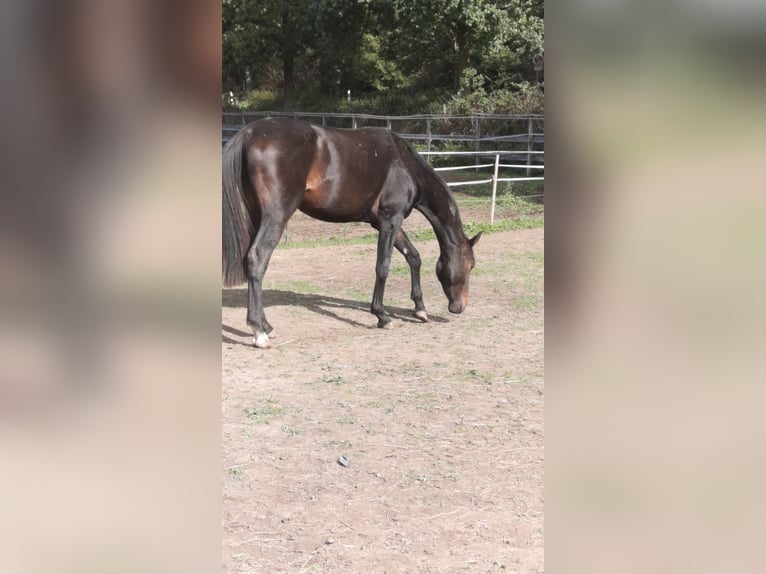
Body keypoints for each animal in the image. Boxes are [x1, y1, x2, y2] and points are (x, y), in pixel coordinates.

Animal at [222, 117, 481, 347]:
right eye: (470, 265)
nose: (460, 307)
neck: (404, 164)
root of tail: (250, 132)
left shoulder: (384, 222)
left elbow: (413, 257)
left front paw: (420, 309)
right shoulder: (391, 220)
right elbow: (383, 266)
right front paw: (382, 316)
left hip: (258, 215)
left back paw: (267, 326)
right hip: (276, 216)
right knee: (257, 258)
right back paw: (259, 332)